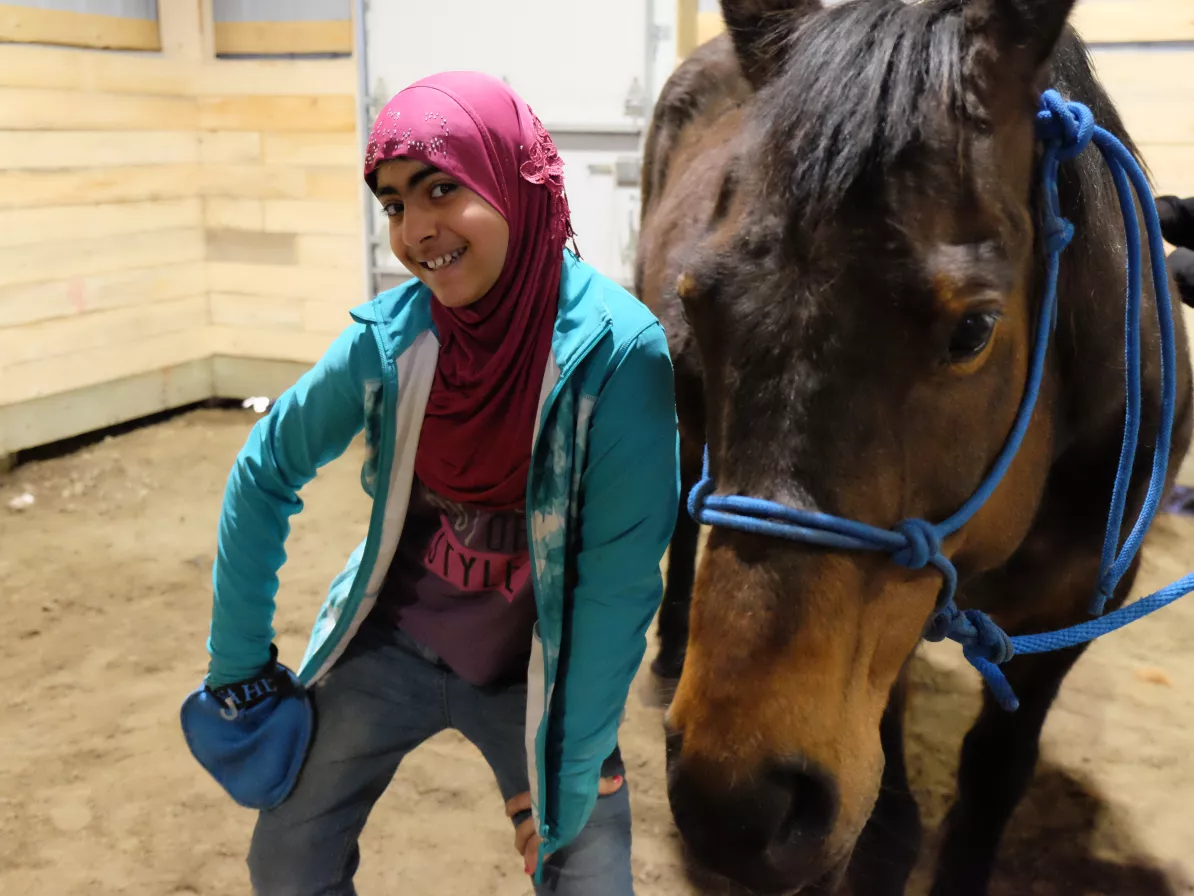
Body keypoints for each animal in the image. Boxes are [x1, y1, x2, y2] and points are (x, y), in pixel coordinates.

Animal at [639, 1, 1189, 896]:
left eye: (974, 329)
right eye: (697, 298)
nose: (734, 804)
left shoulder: (1083, 604)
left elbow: (992, 782)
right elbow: (888, 827)